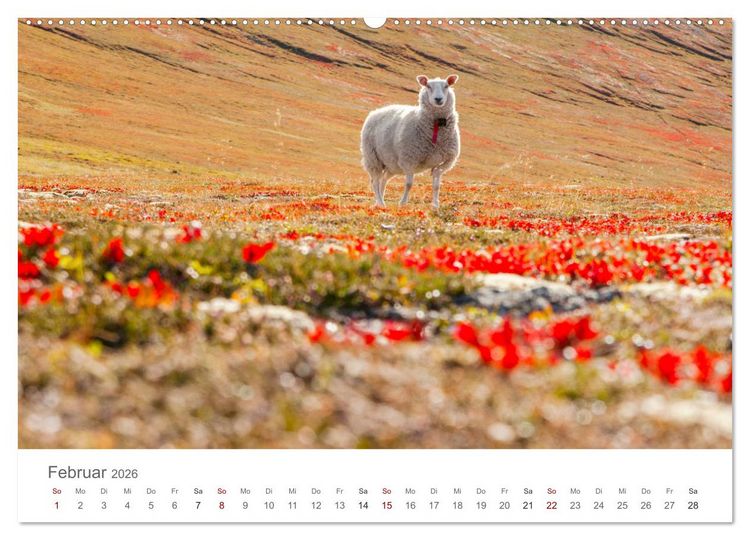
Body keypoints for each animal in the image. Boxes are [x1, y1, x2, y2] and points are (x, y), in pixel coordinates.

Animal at [360, 74, 460, 209]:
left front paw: (435, 205)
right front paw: (403, 203)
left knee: (383, 180)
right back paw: (381, 202)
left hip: (392, 164)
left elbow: (436, 186)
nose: (438, 99)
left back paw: (379, 201)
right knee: (375, 181)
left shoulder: (444, 162)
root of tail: (376, 111)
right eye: (428, 86)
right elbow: (409, 184)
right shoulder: (408, 160)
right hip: (373, 158)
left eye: (446, 86)